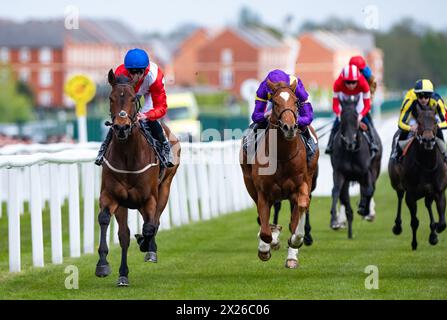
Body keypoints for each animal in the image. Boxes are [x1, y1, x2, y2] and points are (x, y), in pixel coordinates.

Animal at [96, 69, 180, 284]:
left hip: (165, 187)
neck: (128, 157)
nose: (121, 127)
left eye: (133, 99)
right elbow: (110, 224)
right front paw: (106, 266)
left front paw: (146, 245)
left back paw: (149, 247)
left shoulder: (149, 198)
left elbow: (149, 227)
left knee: (155, 221)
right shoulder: (112, 197)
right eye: (111, 98)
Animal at [240, 79, 320, 268]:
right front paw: (265, 248)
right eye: (275, 102)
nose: (289, 127)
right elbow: (265, 230)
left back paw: (291, 255)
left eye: (296, 102)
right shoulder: (263, 192)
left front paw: (295, 242)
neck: (282, 156)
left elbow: (300, 211)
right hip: (249, 183)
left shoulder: (301, 186)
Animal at [330, 96, 384, 239]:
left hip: (375, 168)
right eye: (342, 117)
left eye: (356, 117)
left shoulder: (366, 172)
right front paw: (335, 221)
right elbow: (336, 192)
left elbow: (369, 190)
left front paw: (364, 209)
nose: (350, 142)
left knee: (369, 188)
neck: (351, 152)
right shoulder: (339, 173)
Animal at [388, 105, 447, 250]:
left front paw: (434, 232)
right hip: (397, 185)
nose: (428, 140)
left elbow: (442, 223)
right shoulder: (411, 195)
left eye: (435, 121)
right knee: (399, 197)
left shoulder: (439, 191)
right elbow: (414, 221)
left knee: (428, 204)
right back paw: (397, 226)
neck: (426, 164)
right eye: (419, 123)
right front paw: (414, 243)